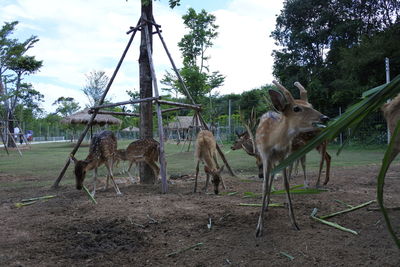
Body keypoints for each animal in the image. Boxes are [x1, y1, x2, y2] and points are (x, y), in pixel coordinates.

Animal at [255, 80, 330, 238]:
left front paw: (294, 223)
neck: (275, 142)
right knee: (269, 178)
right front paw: (259, 228)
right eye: (296, 108)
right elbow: (264, 185)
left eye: (311, 105)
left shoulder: (284, 155)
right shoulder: (265, 155)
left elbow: (286, 183)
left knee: (273, 176)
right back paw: (266, 205)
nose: (325, 118)